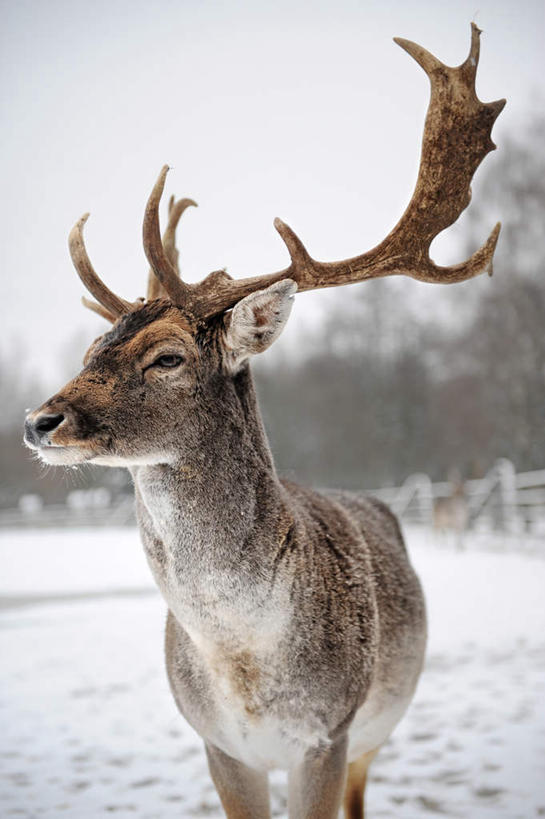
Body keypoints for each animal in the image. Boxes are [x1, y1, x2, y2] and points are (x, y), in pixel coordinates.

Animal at [24, 25, 502, 819]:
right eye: (93, 348)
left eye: (168, 357)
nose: (40, 419)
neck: (243, 664)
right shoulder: (217, 744)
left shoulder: (327, 734)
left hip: (375, 731)